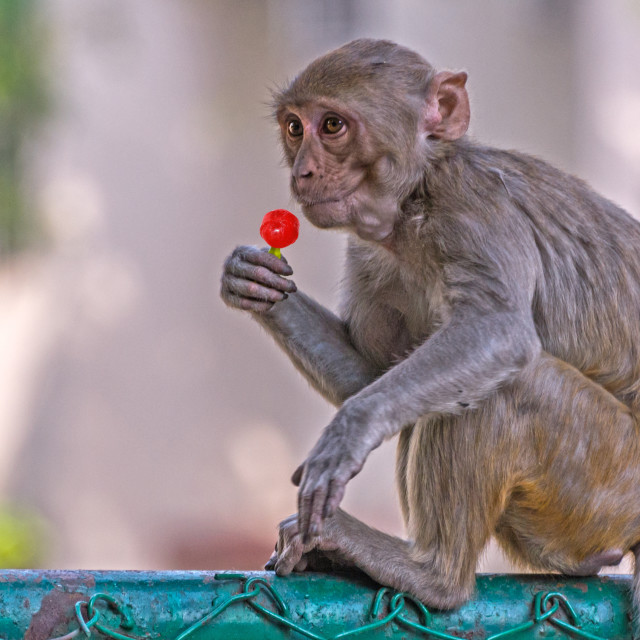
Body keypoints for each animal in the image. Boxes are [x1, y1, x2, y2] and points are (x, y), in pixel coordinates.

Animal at [219, 38, 640, 620]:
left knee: (508, 386)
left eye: (332, 125)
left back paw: (431, 574)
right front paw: (249, 278)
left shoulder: (473, 203)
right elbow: (370, 375)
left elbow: (499, 333)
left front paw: (348, 431)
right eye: (294, 128)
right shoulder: (369, 254)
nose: (302, 173)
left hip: (613, 485)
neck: (415, 200)